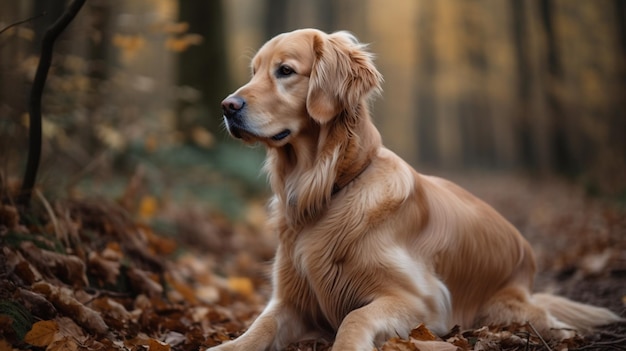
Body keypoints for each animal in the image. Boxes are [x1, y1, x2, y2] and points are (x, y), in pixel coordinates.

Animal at [211, 28, 620, 351]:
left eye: (285, 71)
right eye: (254, 72)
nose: (227, 105)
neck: (327, 189)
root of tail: (525, 252)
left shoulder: (424, 301)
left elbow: (354, 319)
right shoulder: (291, 299)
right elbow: (259, 326)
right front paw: (226, 346)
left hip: (505, 306)